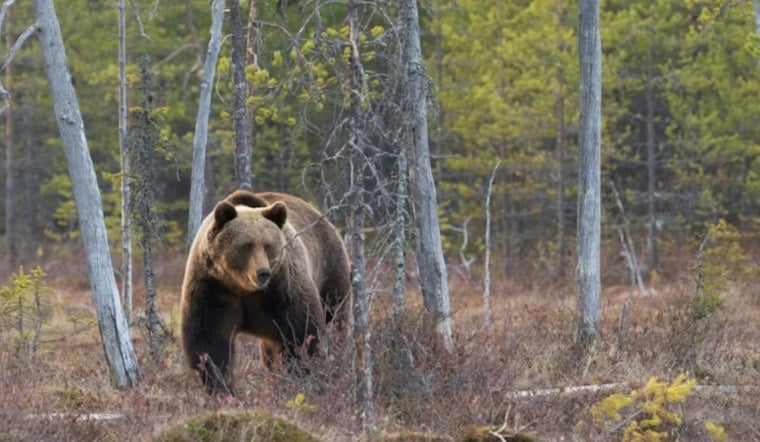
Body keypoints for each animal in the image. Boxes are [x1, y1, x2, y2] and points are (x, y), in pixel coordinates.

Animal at [180, 190, 352, 394]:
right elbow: (210, 341)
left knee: (334, 317)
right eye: (246, 245)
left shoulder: (282, 288)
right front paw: (221, 388)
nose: (263, 272)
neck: (243, 288)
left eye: (268, 245)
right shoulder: (212, 287)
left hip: (329, 271)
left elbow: (302, 333)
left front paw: (304, 378)